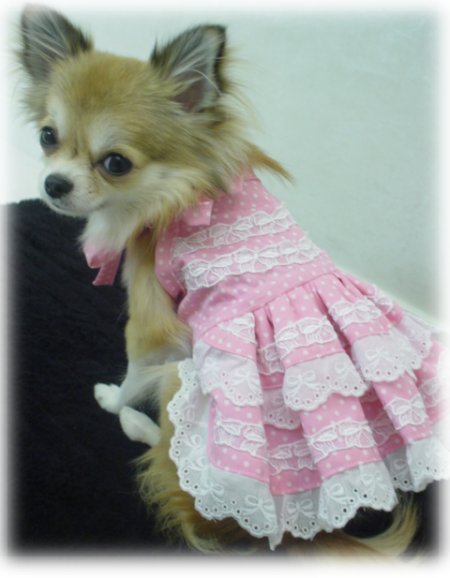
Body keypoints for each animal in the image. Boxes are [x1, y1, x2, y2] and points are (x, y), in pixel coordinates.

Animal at [18, 5, 447, 555]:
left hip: (183, 381)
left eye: (116, 163)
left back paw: (139, 425)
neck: (181, 189)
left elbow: (132, 372)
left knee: (170, 459)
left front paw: (115, 401)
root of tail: (305, 528)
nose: (53, 184)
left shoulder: (153, 324)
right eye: (47, 136)